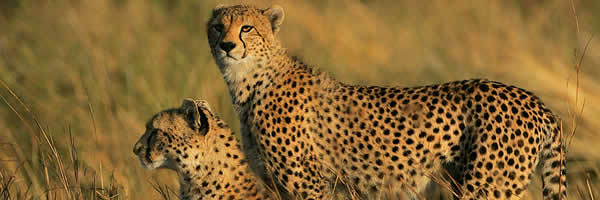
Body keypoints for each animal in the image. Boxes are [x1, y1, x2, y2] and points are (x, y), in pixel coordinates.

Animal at [206, 4, 568, 200]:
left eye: (247, 28)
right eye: (217, 27)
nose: (226, 45)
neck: (250, 82)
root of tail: (533, 99)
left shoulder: (308, 185)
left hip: (486, 188)